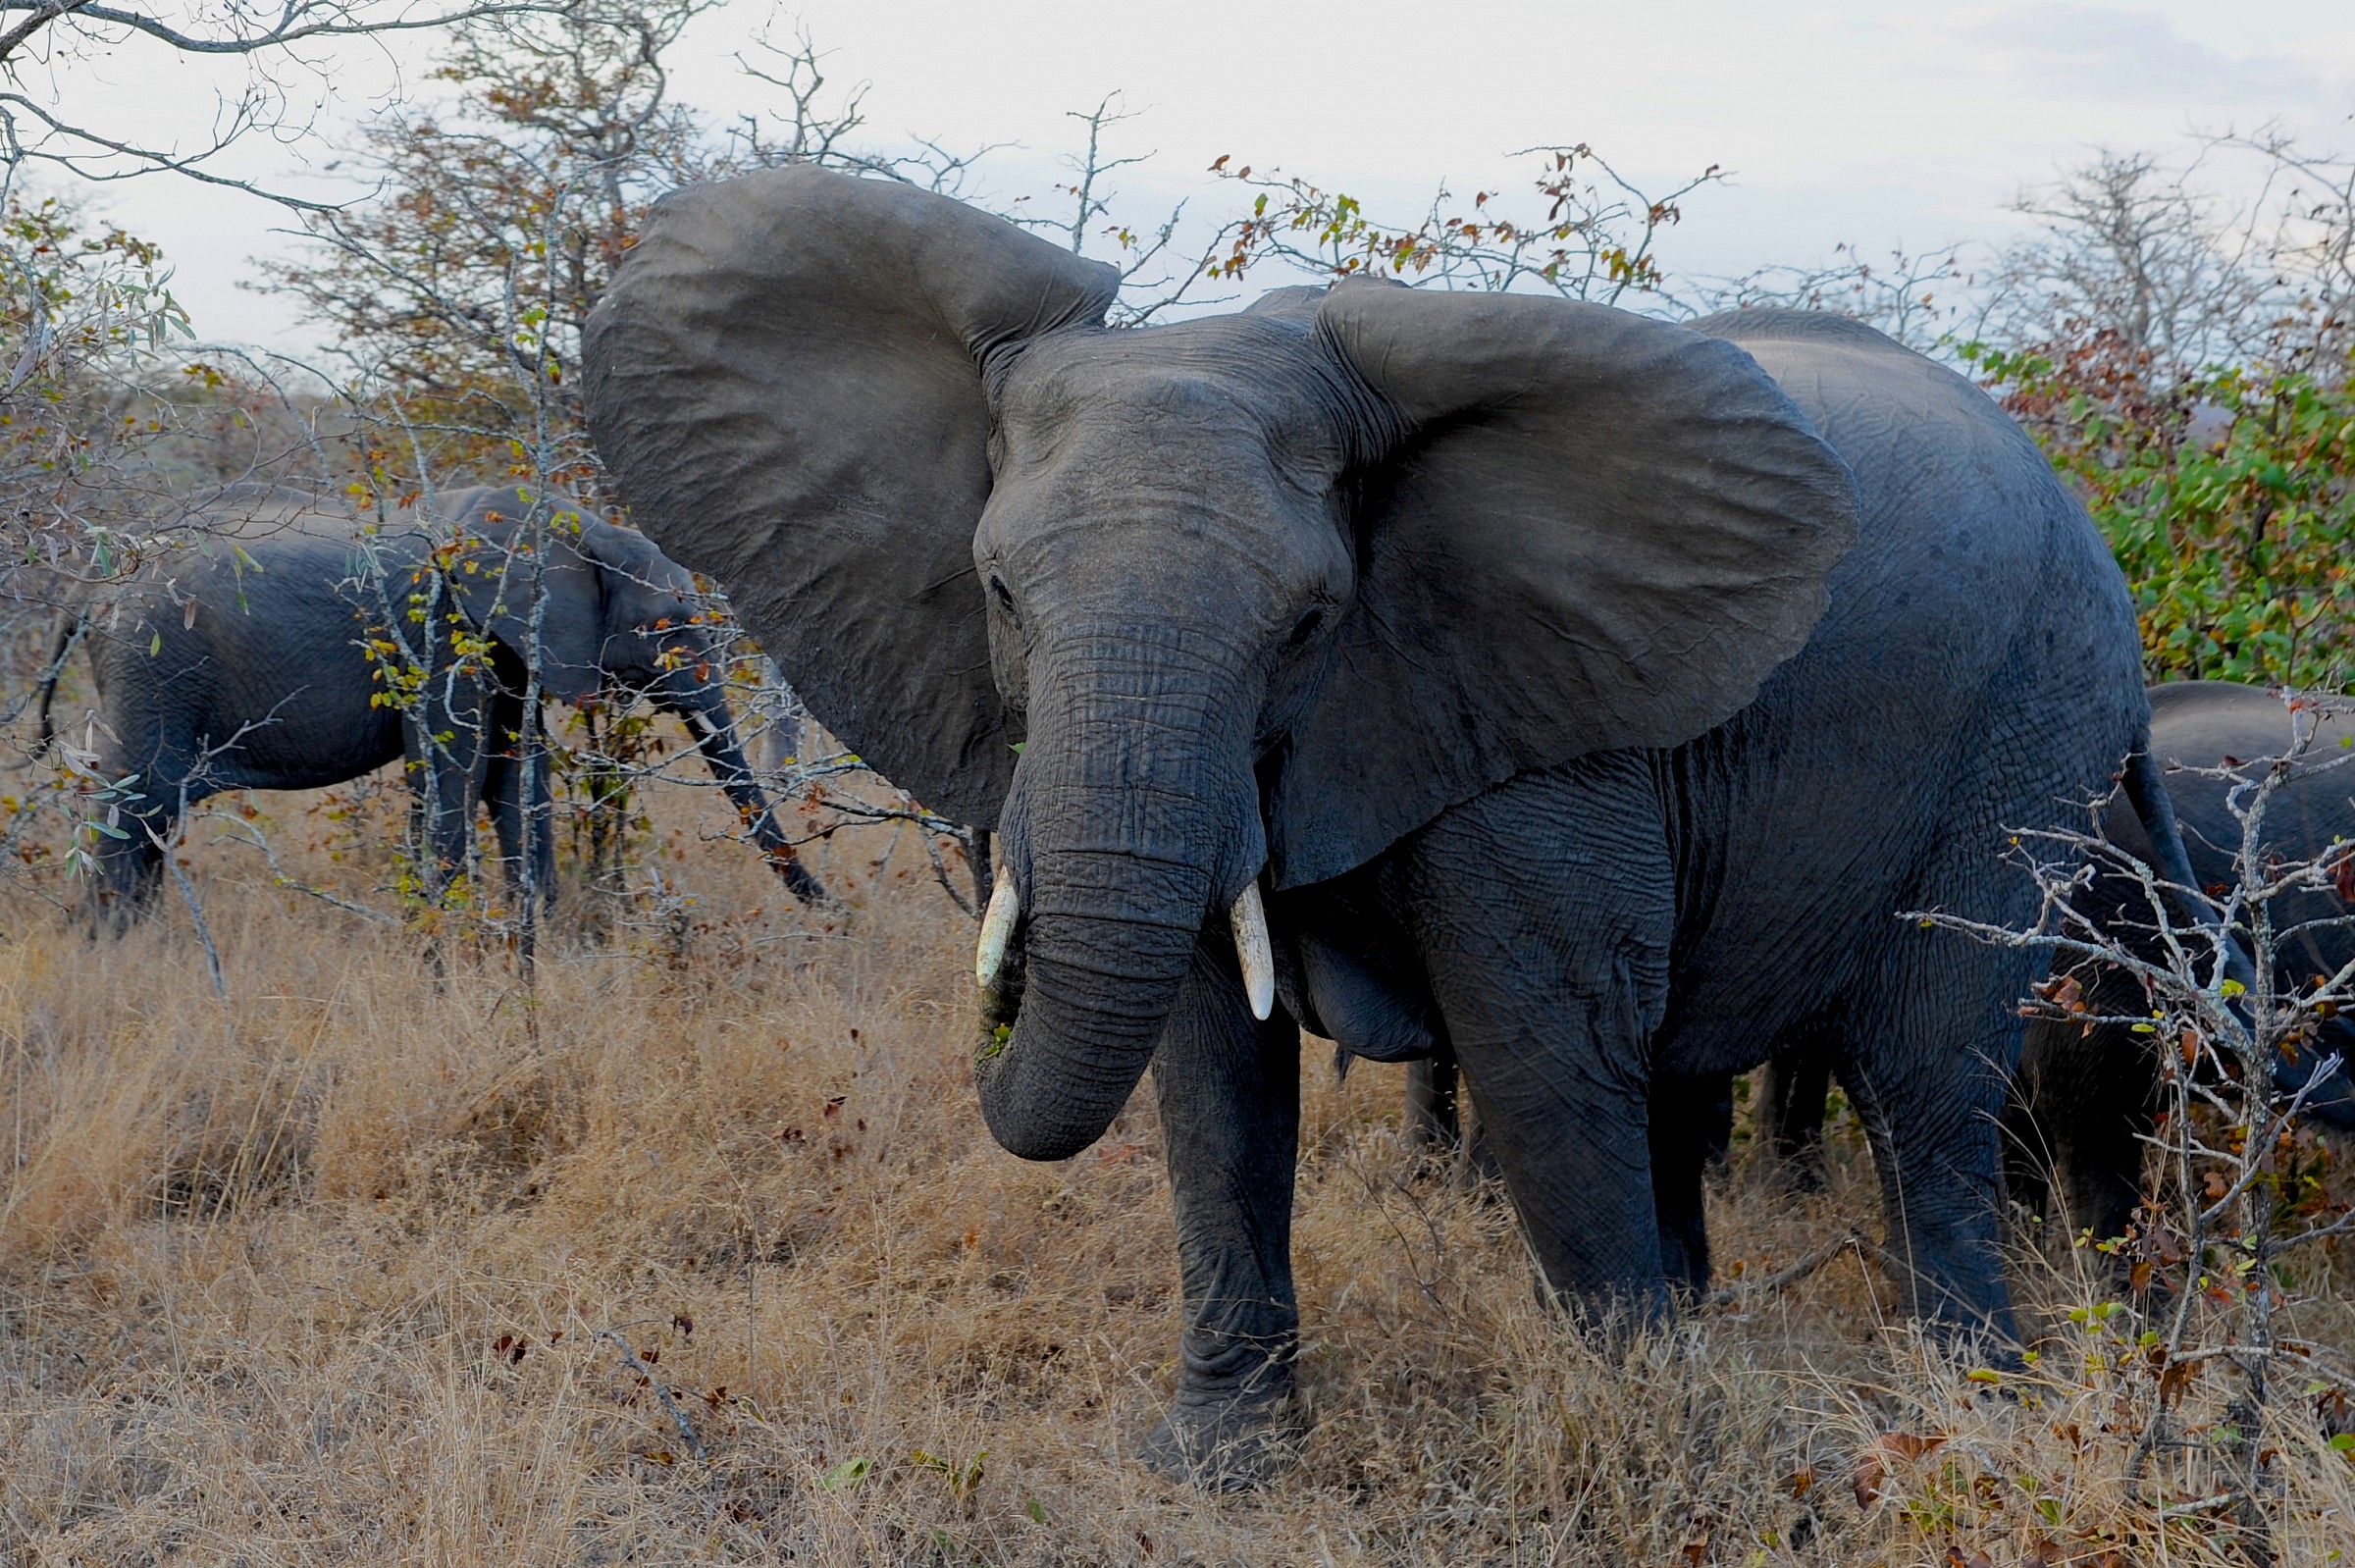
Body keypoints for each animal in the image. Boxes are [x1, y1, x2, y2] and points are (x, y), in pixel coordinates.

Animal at [38, 483, 823, 924]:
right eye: (671, 626)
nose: (836, 914)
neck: (571, 523)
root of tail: (84, 588)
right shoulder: (443, 631)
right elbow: (454, 772)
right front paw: (439, 945)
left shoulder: (509, 644)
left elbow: (517, 772)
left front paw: (543, 937)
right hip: (151, 667)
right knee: (135, 802)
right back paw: (110, 948)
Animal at [580, 165, 2163, 1483]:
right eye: (999, 592)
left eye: (1309, 623)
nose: (992, 974)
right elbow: (1209, 1072)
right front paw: (1216, 1465)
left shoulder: (1536, 728)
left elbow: (1542, 1053)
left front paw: (1657, 1450)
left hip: (2034, 728)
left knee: (1924, 1077)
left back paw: (1974, 1405)